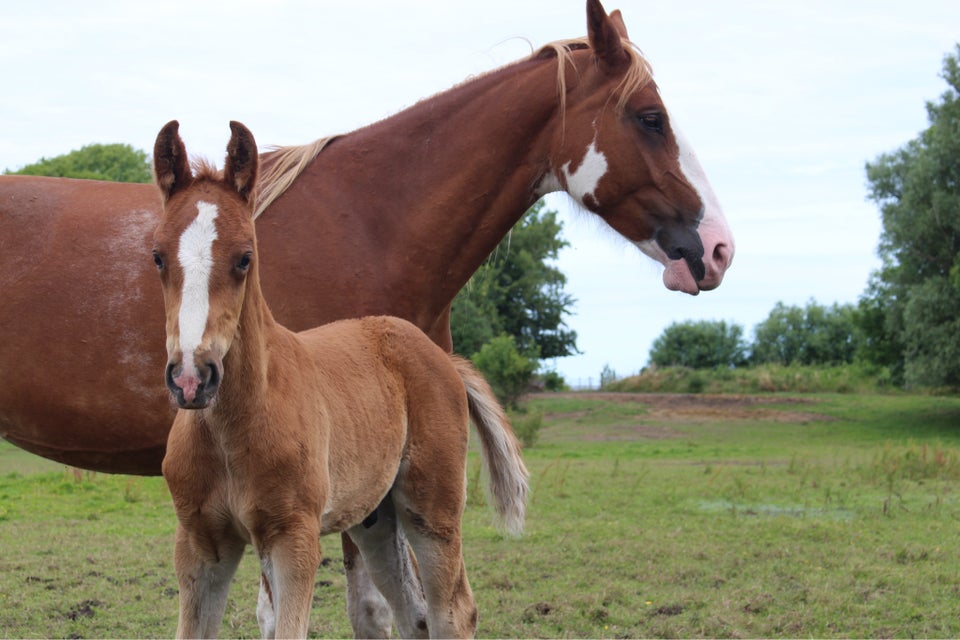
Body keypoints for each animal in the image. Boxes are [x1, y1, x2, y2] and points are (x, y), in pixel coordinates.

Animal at [152, 117, 524, 636]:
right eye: (158, 257)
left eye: (245, 257)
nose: (191, 377)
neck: (232, 429)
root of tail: (442, 358)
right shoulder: (201, 542)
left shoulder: (293, 537)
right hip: (376, 517)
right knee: (413, 613)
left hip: (431, 508)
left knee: (453, 611)